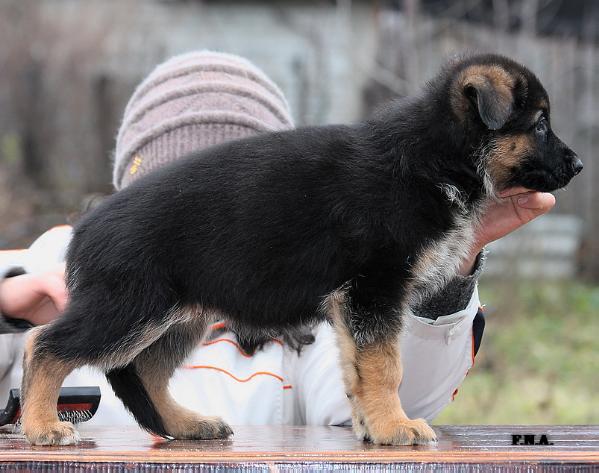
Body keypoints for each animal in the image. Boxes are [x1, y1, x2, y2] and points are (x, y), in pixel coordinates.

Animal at [22, 53, 580, 444]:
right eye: (540, 124)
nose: (577, 166)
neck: (432, 157)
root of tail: (83, 228)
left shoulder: (359, 305)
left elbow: (359, 369)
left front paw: (371, 427)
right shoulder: (373, 291)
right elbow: (386, 366)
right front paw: (395, 426)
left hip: (177, 316)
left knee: (146, 371)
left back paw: (185, 424)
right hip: (131, 307)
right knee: (45, 344)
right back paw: (41, 426)